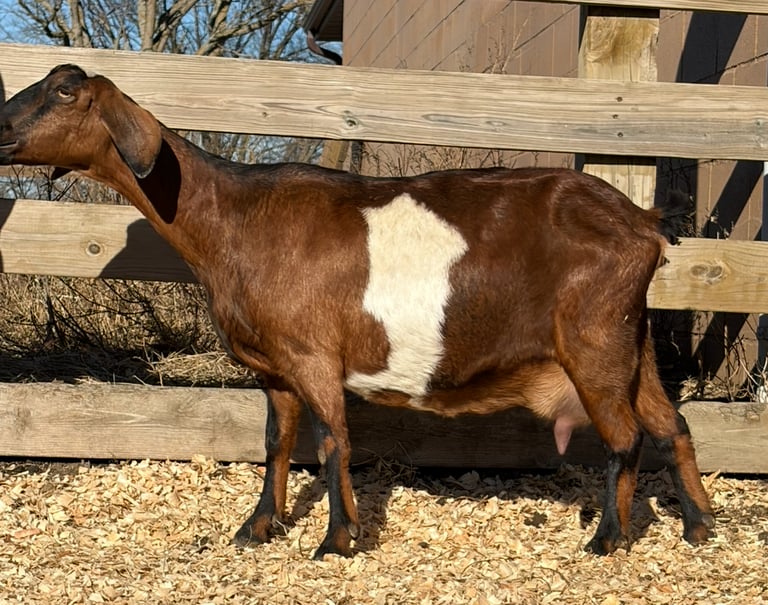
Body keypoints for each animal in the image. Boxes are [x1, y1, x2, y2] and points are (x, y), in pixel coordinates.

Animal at [0, 65, 715, 559]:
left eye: (64, 92)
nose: (0, 131)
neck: (235, 217)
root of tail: (643, 223)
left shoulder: (314, 353)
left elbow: (332, 441)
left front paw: (337, 539)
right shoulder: (276, 368)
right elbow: (277, 441)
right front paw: (258, 527)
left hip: (593, 341)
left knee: (624, 437)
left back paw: (607, 540)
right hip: (631, 341)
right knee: (671, 422)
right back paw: (700, 525)